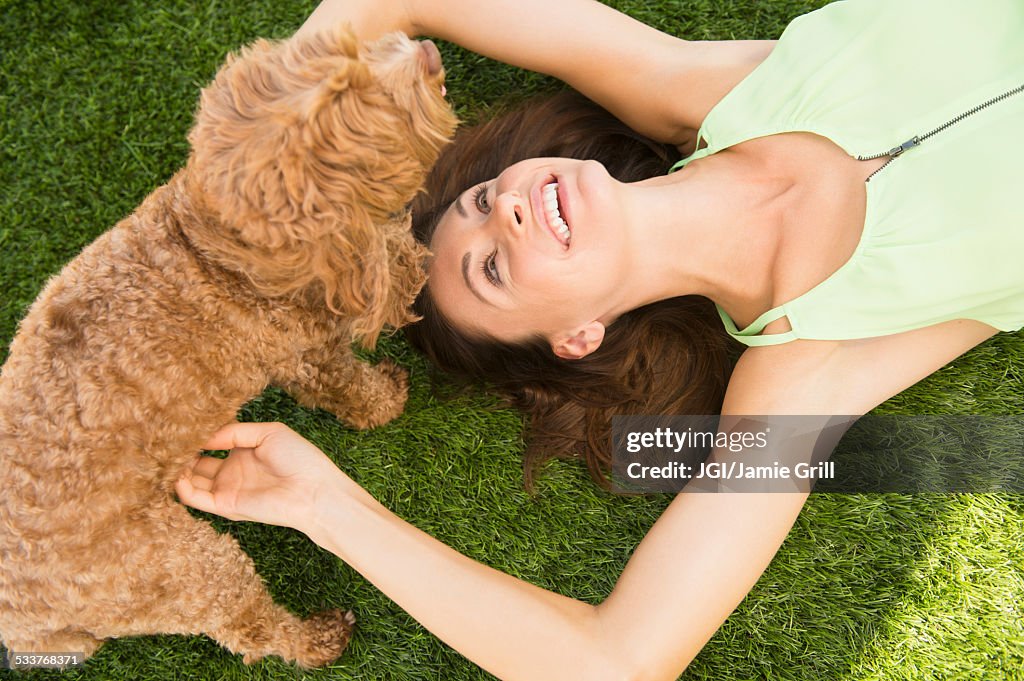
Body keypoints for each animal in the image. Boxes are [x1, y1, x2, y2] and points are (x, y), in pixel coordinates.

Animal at [0, 25, 456, 663]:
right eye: (369, 107)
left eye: (348, 51)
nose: (429, 53)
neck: (211, 250)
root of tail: (23, 622)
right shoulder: (302, 352)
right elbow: (343, 382)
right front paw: (385, 398)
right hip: (174, 567)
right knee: (246, 625)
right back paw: (317, 638)